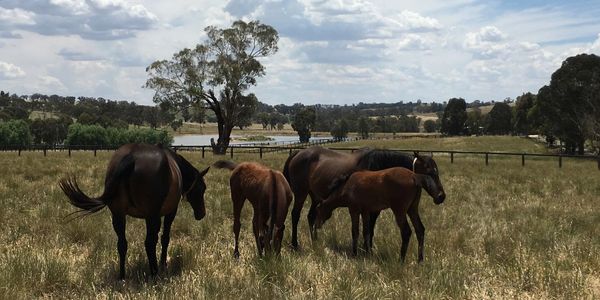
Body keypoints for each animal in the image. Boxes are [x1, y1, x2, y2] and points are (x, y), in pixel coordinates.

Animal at [58, 144, 209, 278]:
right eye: (202, 188)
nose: (201, 214)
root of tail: (131, 156)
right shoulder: (169, 213)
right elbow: (165, 238)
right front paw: (163, 264)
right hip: (151, 216)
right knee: (149, 243)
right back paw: (154, 273)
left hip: (118, 215)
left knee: (122, 244)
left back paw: (122, 276)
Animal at [282, 147, 446, 248]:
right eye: (429, 173)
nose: (441, 196)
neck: (378, 166)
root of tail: (297, 153)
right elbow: (366, 229)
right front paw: (365, 248)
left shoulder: (373, 209)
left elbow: (370, 229)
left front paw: (368, 248)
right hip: (301, 194)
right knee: (295, 215)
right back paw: (295, 244)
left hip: (315, 196)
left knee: (311, 216)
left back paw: (315, 240)